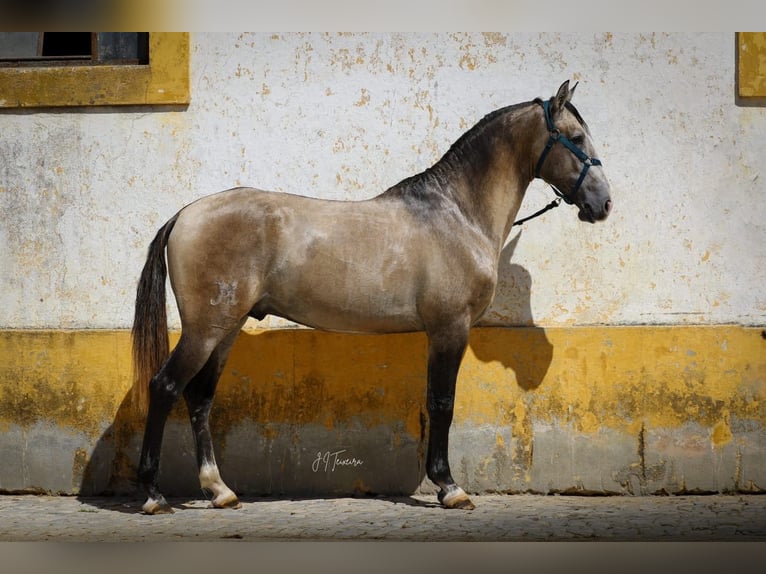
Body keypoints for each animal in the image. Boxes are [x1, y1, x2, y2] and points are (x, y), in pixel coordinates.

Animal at [130, 79, 612, 516]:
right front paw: (449, 487)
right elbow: (442, 403)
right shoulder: (450, 328)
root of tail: (185, 215)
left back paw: (219, 490)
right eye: (575, 138)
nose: (603, 204)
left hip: (226, 328)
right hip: (205, 329)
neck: (457, 213)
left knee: (200, 398)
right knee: (165, 387)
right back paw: (154, 495)